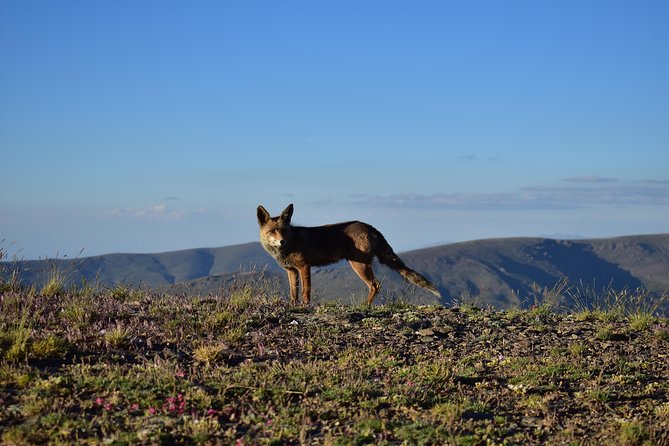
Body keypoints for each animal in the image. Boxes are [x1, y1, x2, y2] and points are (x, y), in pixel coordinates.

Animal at [254, 204, 438, 304]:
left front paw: (306, 305)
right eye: (272, 231)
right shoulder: (292, 270)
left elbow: (306, 291)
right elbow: (293, 292)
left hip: (359, 265)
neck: (290, 245)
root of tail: (369, 226)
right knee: (376, 285)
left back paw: (365, 305)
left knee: (375, 285)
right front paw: (293, 305)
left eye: (284, 230)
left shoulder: (304, 266)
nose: (282, 241)